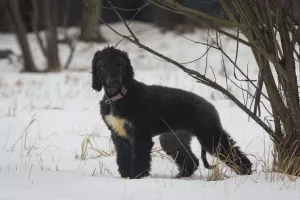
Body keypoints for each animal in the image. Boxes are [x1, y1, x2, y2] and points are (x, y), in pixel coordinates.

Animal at [91, 46, 251, 179]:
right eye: (103, 65)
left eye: (119, 63)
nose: (114, 80)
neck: (120, 96)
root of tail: (210, 106)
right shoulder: (119, 135)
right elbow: (123, 159)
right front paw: (126, 178)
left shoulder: (141, 135)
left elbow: (139, 160)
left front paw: (137, 178)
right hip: (173, 138)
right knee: (192, 161)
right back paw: (180, 177)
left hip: (209, 134)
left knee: (231, 152)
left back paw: (246, 172)